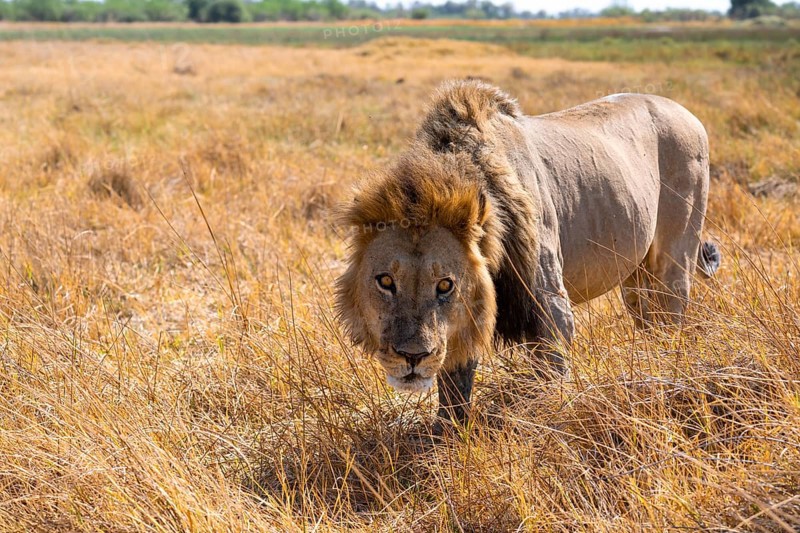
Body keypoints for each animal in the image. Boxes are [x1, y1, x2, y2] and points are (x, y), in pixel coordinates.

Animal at [335, 80, 720, 424]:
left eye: (445, 285)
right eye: (386, 281)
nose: (412, 357)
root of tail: (686, 111)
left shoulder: (551, 305)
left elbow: (553, 377)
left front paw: (553, 417)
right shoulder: (463, 322)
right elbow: (454, 387)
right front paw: (446, 440)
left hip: (675, 258)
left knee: (670, 316)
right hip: (636, 276)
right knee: (648, 318)